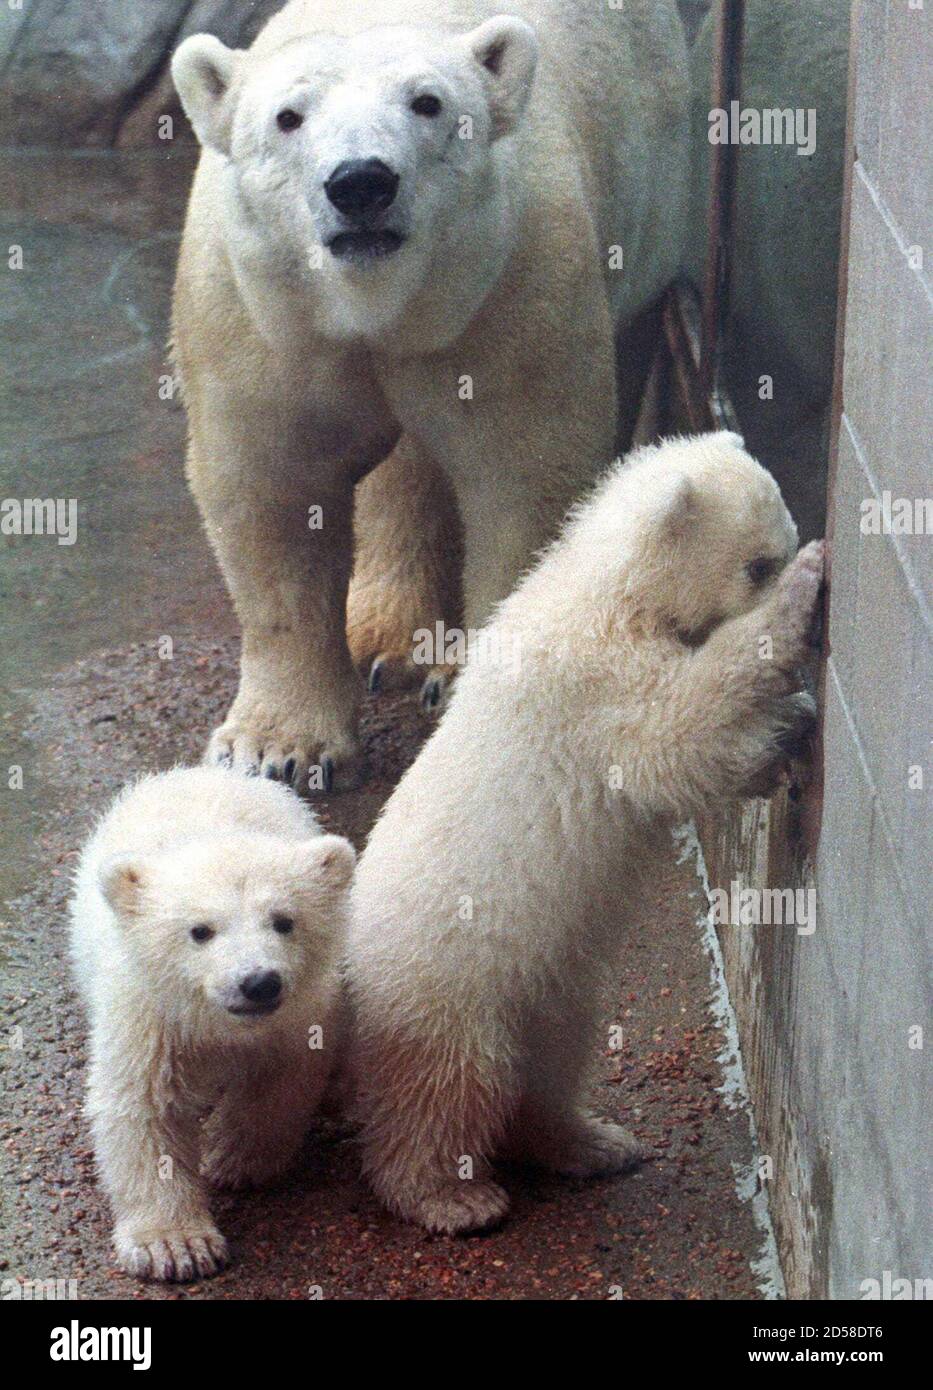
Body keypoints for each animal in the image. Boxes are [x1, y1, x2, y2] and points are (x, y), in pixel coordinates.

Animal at [171, 0, 689, 789]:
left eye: (428, 103)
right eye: (288, 117)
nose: (360, 182)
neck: (374, 304)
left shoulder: (507, 285)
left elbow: (522, 480)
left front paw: (476, 684)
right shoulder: (259, 318)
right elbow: (271, 491)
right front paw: (276, 748)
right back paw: (386, 637)